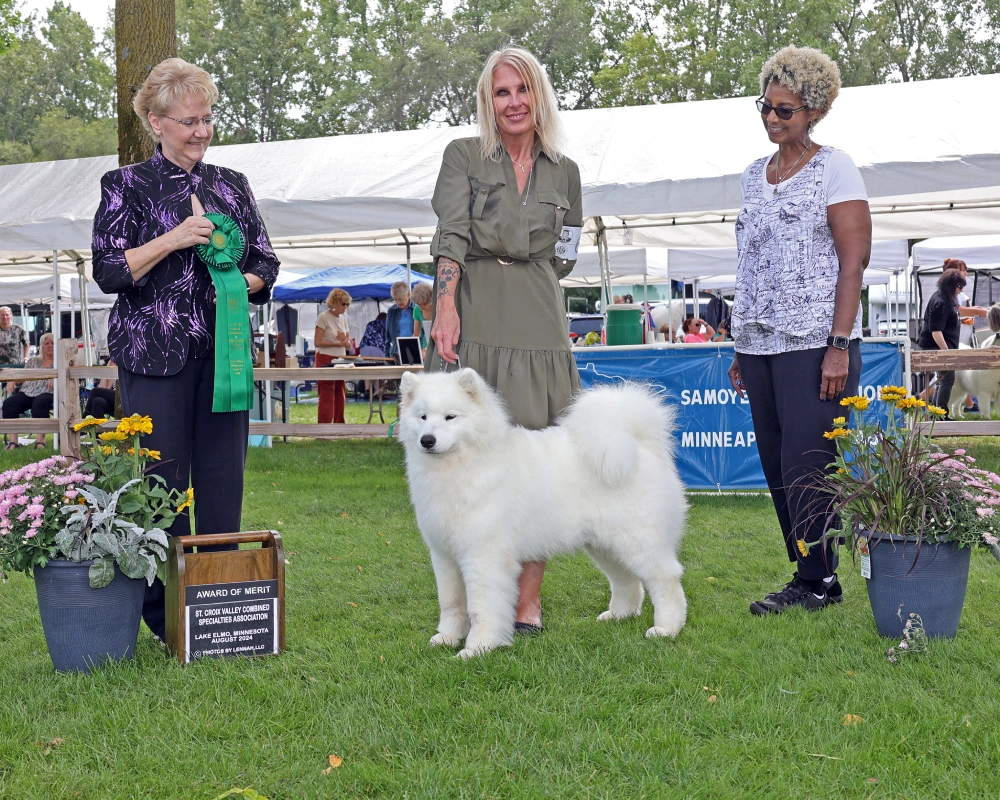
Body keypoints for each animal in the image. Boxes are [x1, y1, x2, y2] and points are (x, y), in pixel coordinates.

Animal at [398, 368, 688, 656]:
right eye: (422, 417)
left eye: (451, 416)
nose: (427, 440)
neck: (461, 467)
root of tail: (637, 442)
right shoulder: (444, 554)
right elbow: (450, 602)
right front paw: (447, 638)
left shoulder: (483, 556)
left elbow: (481, 607)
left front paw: (478, 648)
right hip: (606, 545)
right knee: (625, 580)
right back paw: (618, 615)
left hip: (638, 541)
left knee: (666, 580)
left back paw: (666, 629)